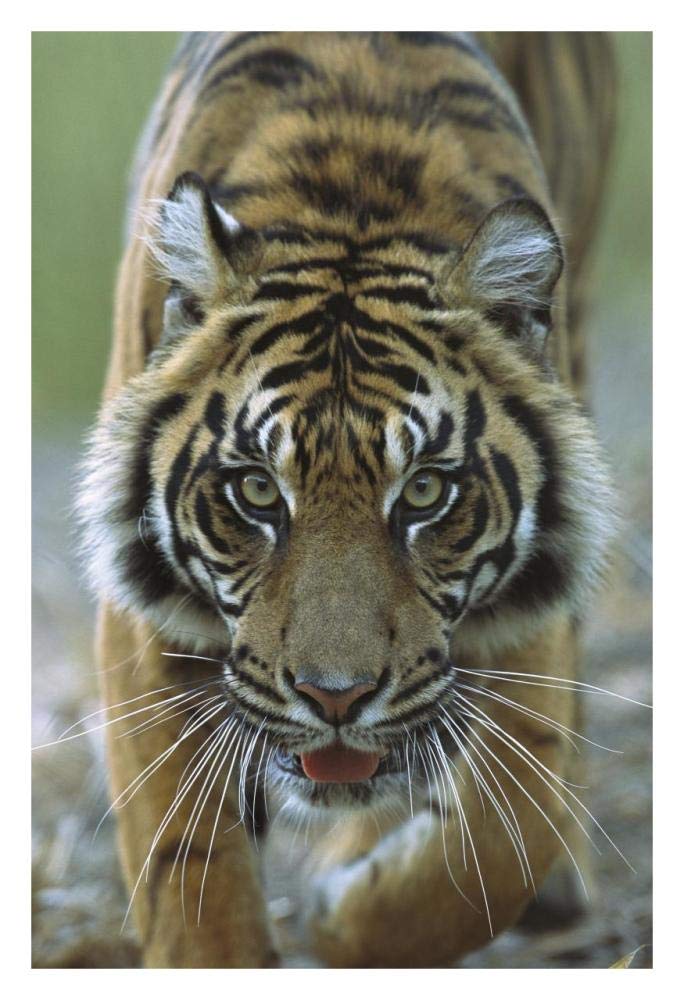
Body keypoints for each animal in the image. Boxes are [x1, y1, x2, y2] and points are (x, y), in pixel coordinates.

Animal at [78, 31, 618, 967]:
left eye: (426, 490)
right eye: (258, 490)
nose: (334, 699)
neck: (351, 203)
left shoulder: (530, 614)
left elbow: (509, 828)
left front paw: (346, 920)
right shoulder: (148, 623)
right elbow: (192, 876)